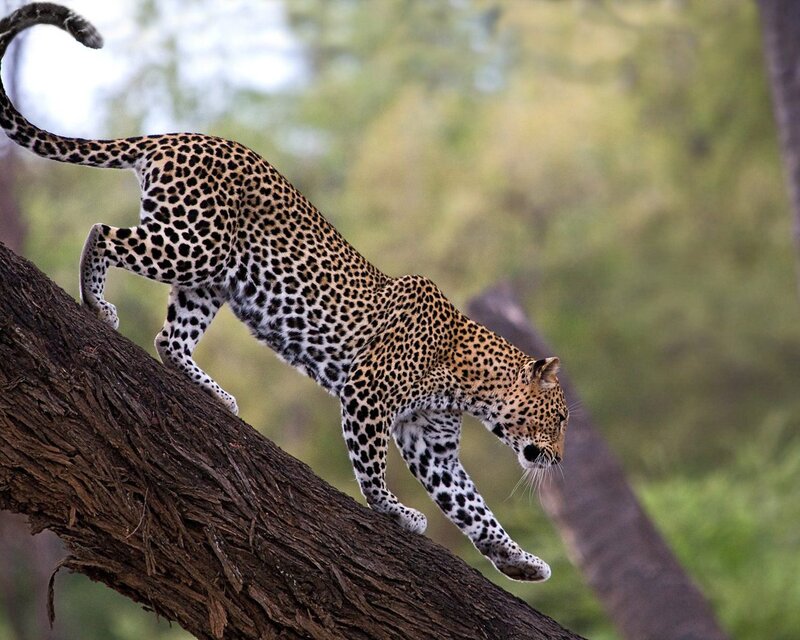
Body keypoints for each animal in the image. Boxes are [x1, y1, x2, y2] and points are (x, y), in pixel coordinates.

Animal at [0, 3, 569, 581]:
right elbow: (373, 466)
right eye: (563, 417)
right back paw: (97, 304)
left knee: (169, 339)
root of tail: (181, 136)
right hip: (193, 244)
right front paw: (393, 511)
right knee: (101, 233)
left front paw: (518, 560)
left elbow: (473, 506)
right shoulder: (368, 392)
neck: (469, 381)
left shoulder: (431, 442)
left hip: (212, 278)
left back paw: (215, 393)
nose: (560, 458)